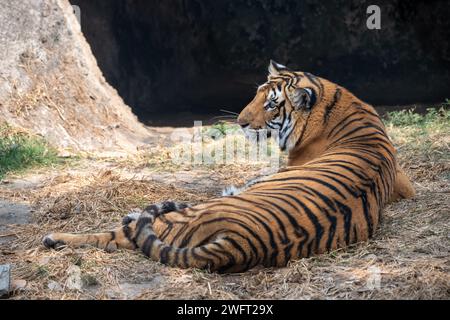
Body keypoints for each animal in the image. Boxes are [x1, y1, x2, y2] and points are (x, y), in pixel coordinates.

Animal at [42, 59, 414, 272]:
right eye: (258, 94)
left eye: (272, 104)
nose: (240, 122)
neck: (336, 103)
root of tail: (238, 243)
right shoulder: (404, 183)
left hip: (183, 218)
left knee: (118, 235)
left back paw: (56, 238)